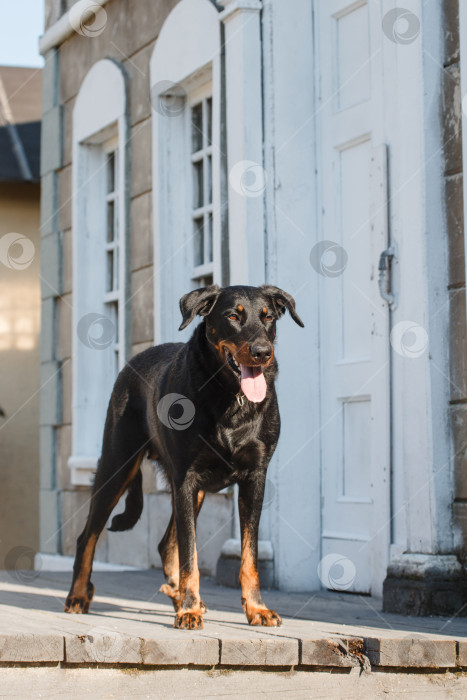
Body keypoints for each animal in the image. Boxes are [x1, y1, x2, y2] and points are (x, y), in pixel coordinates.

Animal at [66, 284, 306, 628]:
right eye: (233, 316)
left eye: (268, 317)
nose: (262, 352)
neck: (231, 397)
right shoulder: (187, 478)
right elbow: (190, 555)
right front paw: (190, 610)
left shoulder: (254, 478)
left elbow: (249, 555)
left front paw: (256, 608)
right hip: (117, 466)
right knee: (87, 537)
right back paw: (78, 596)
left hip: (195, 491)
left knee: (166, 544)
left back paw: (176, 593)